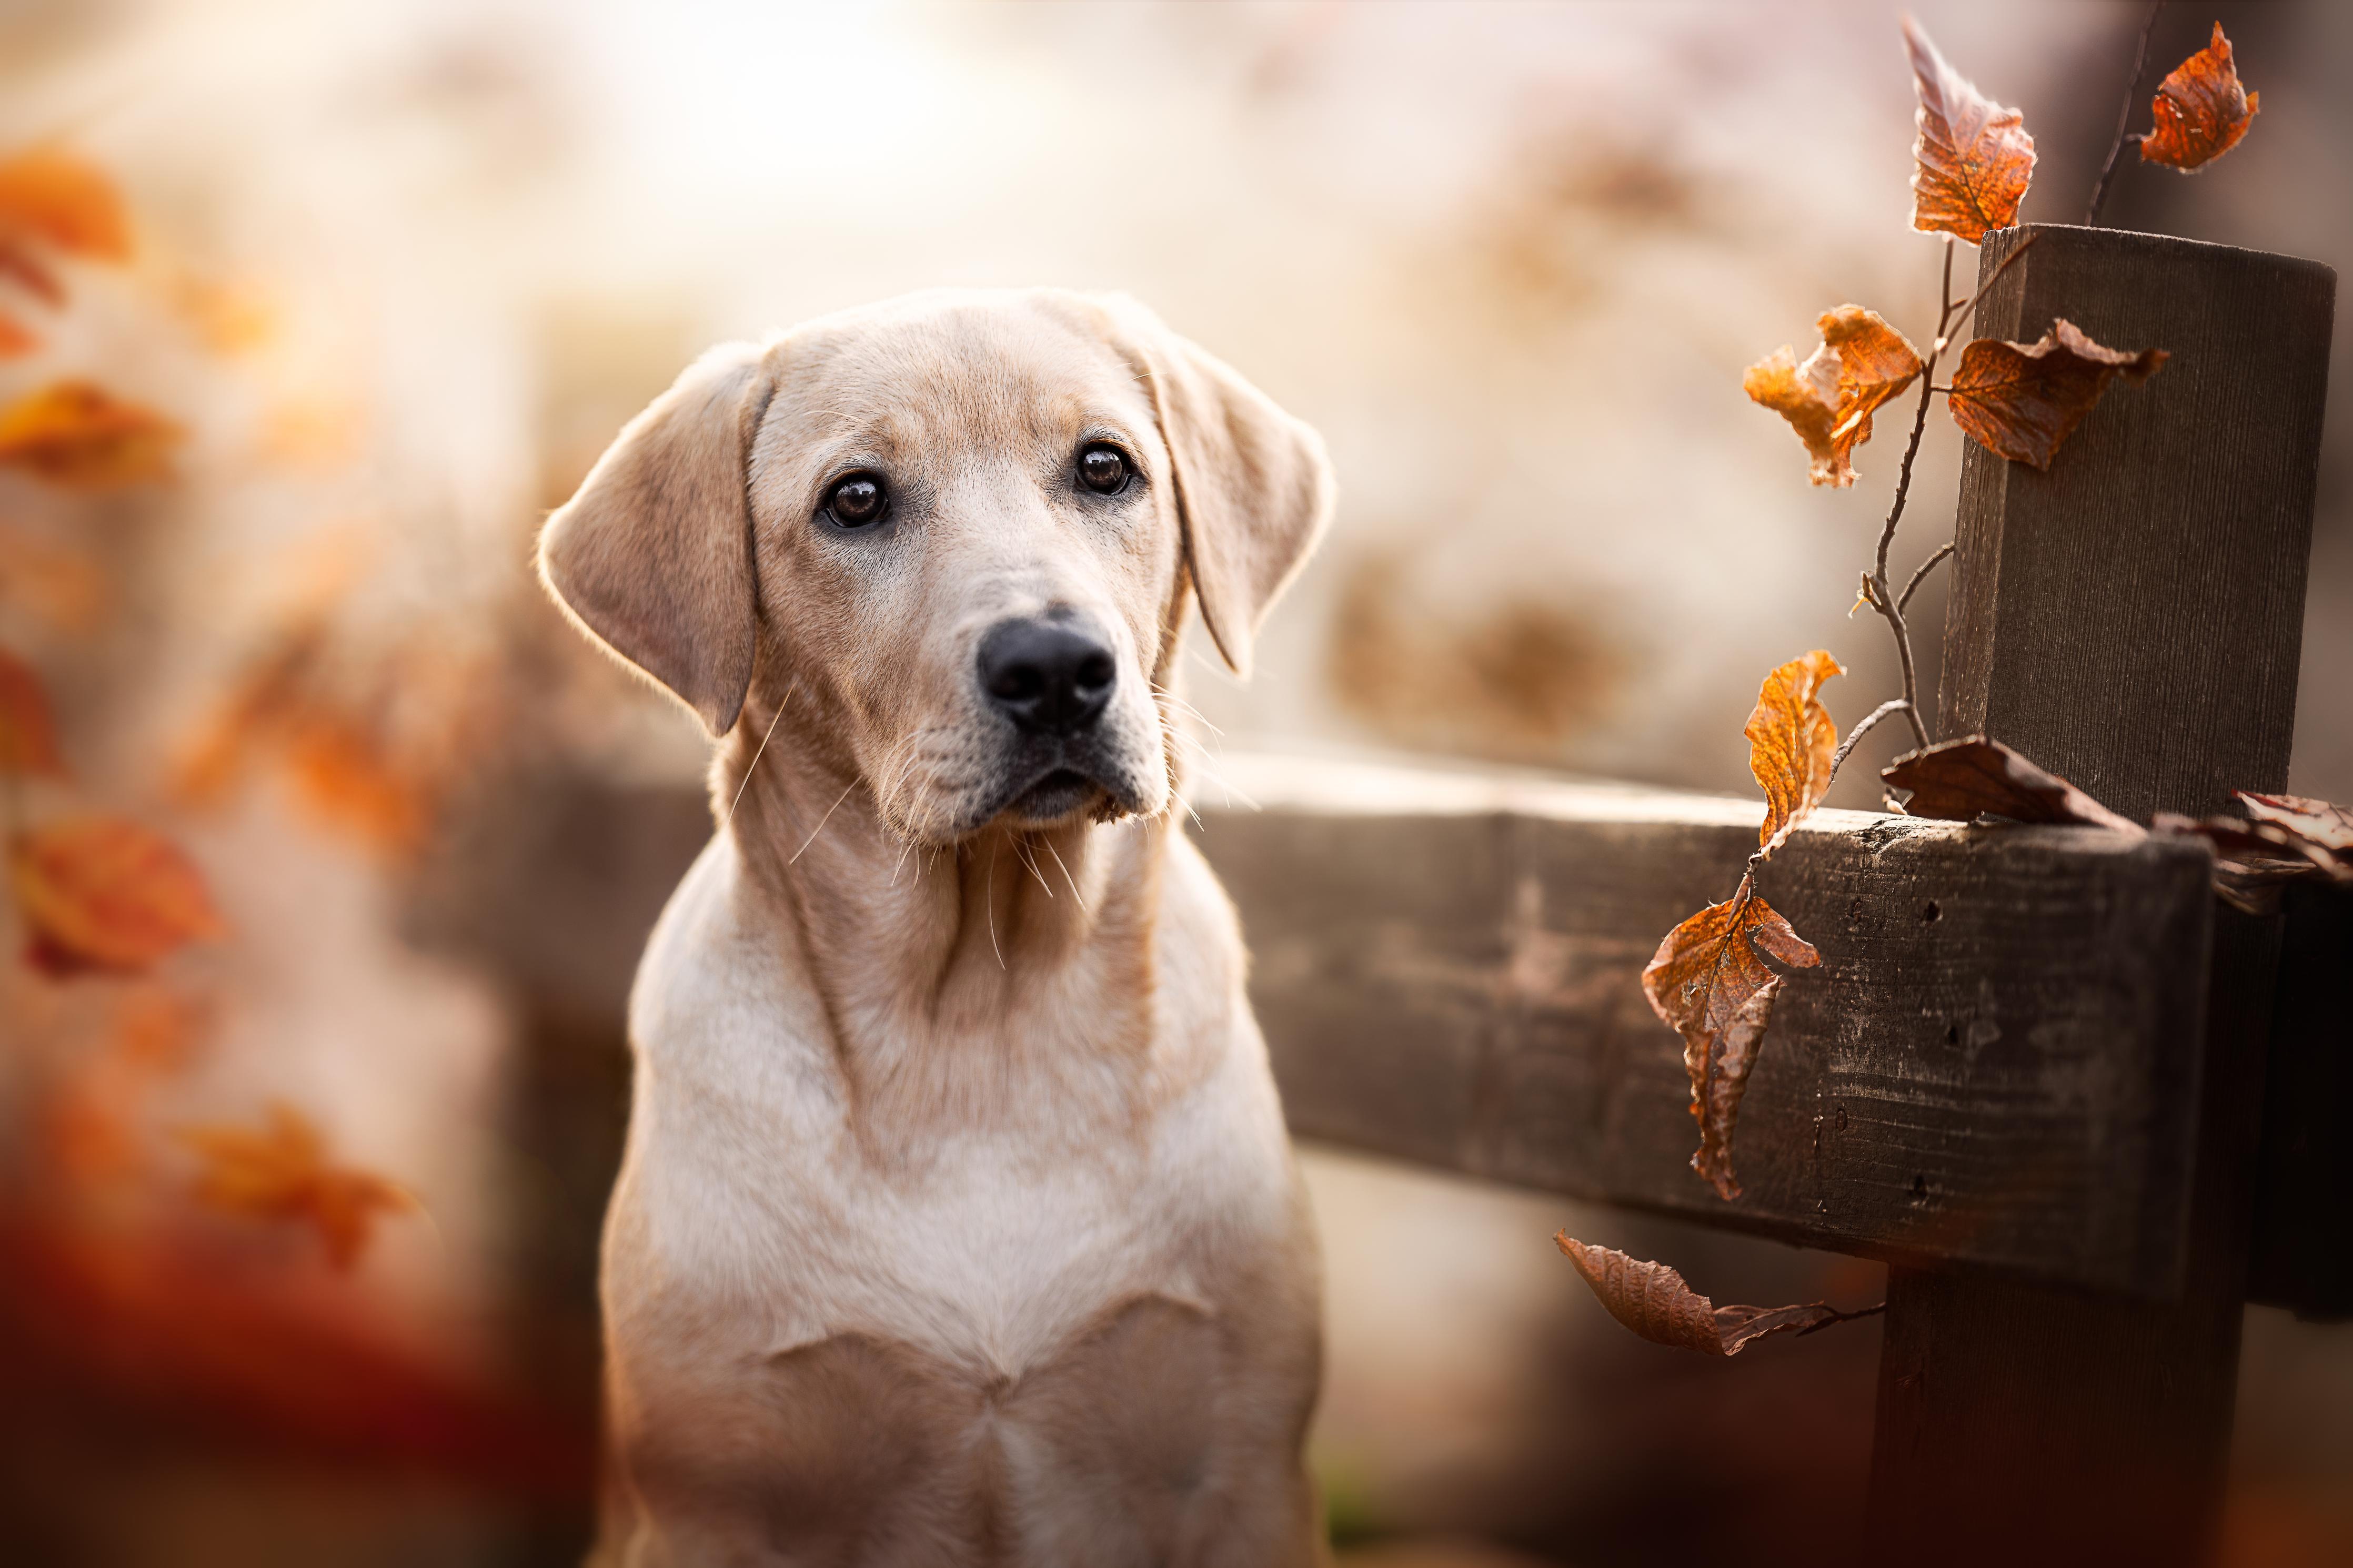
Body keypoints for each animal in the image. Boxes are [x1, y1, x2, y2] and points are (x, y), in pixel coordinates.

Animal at [539, 288, 1336, 1561]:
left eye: (1105, 467)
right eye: (855, 499)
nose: (1055, 665)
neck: (979, 1030)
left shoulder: (1244, 1473)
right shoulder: (710, 1500)